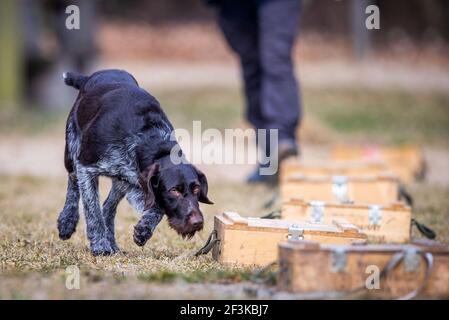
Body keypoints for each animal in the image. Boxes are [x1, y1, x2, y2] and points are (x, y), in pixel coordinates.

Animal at [56, 69, 214, 255]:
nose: (198, 222)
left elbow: (157, 207)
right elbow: (92, 211)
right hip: (72, 152)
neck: (146, 138)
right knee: (73, 184)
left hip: (122, 180)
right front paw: (100, 245)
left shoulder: (136, 180)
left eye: (196, 188)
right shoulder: (86, 168)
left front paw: (143, 229)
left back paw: (112, 242)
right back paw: (67, 221)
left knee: (108, 207)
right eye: (174, 190)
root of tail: (90, 77)